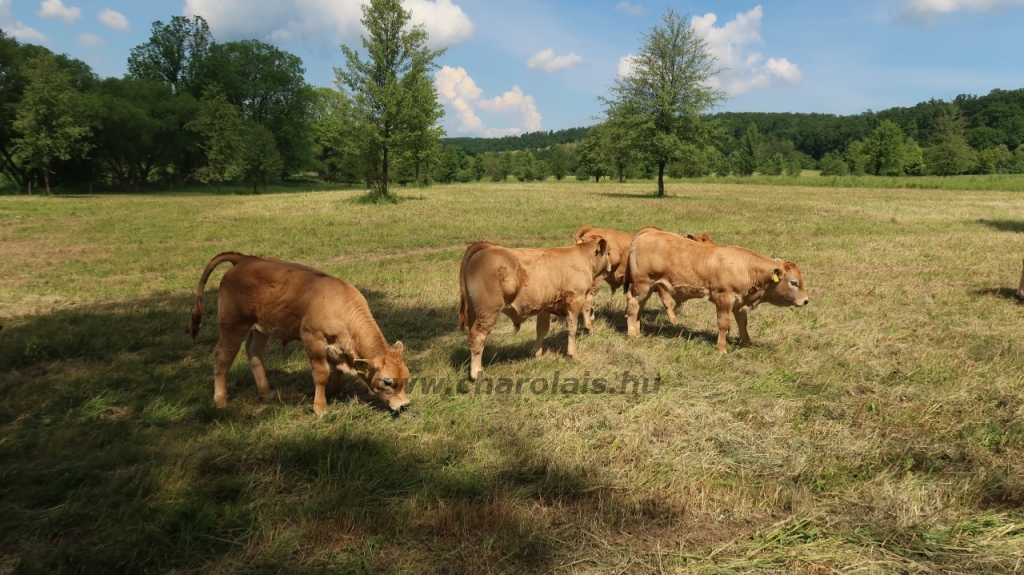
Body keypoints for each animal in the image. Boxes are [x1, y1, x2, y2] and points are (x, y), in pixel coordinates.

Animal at [190, 250, 409, 411]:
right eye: (387, 382)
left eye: (406, 377)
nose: (405, 405)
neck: (340, 305)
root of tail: (244, 259)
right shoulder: (313, 339)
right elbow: (321, 374)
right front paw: (320, 407)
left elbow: (337, 370)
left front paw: (336, 392)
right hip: (233, 325)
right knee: (222, 356)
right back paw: (220, 400)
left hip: (261, 328)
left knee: (254, 352)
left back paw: (267, 393)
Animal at [460, 236, 610, 380]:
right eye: (608, 252)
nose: (609, 267)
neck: (582, 256)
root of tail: (488, 247)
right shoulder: (575, 301)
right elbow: (572, 328)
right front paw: (572, 353)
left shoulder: (545, 307)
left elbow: (542, 330)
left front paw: (537, 353)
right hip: (488, 312)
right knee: (478, 337)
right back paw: (476, 372)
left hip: (473, 312)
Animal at [573, 225, 716, 327]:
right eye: (704, 241)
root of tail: (590, 229)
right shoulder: (660, 284)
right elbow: (667, 301)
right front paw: (674, 320)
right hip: (597, 279)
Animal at [622, 226, 806, 351]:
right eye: (794, 282)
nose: (805, 301)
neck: (745, 267)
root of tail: (647, 233)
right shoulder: (724, 299)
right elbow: (724, 324)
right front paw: (722, 347)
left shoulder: (740, 303)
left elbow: (743, 323)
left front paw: (746, 343)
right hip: (642, 285)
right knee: (633, 304)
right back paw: (632, 333)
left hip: (647, 287)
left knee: (639, 306)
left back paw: (637, 330)